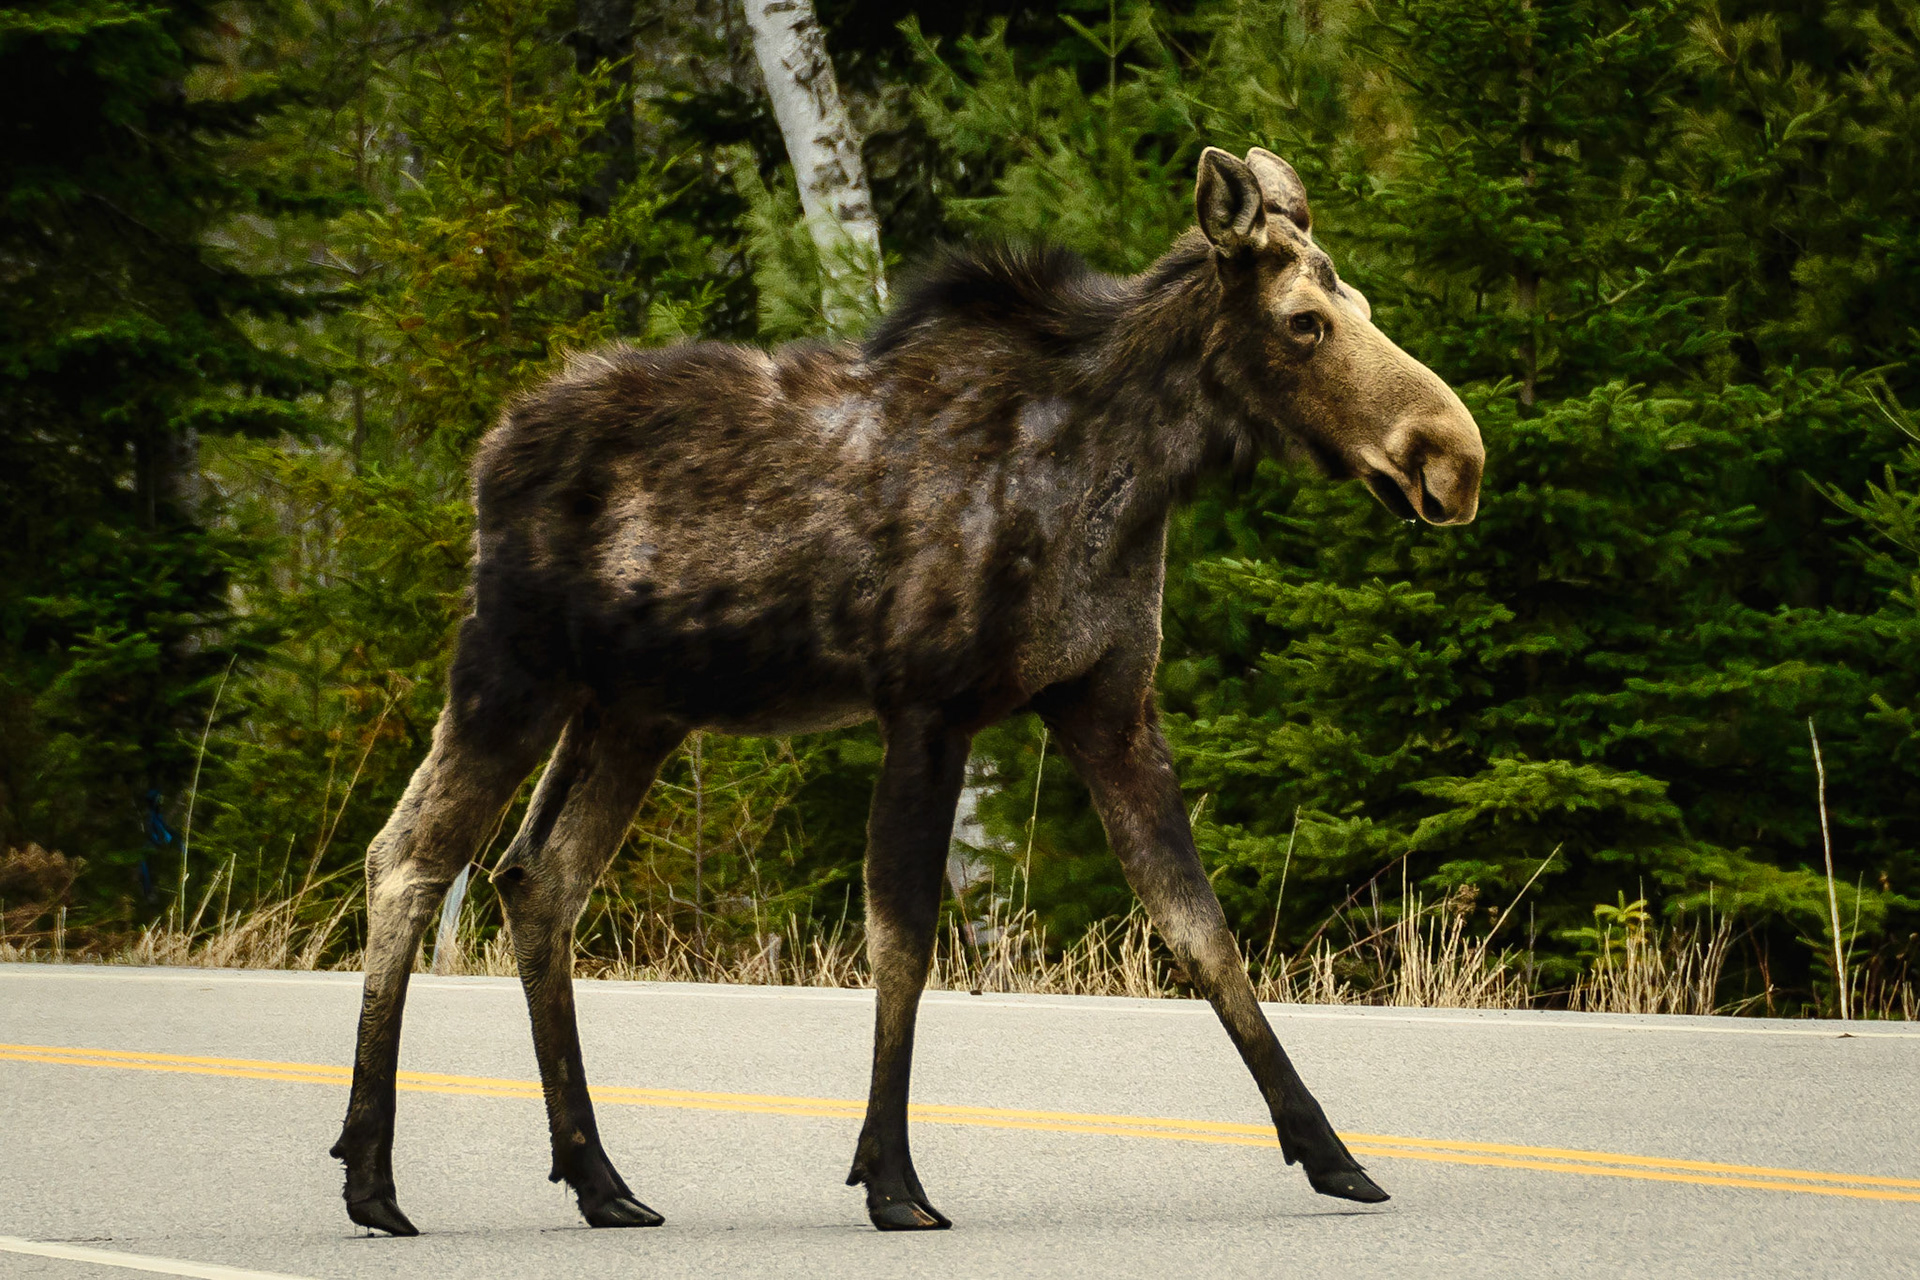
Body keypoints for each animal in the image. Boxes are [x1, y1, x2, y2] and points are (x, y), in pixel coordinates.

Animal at [329, 145, 1484, 1236]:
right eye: (1303, 323)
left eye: (1362, 307)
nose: (1454, 457)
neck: (1129, 483)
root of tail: (486, 450)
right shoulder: (927, 705)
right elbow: (905, 940)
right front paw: (891, 1176)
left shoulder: (1109, 707)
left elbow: (1201, 931)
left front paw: (1333, 1154)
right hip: (509, 669)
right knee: (409, 858)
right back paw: (373, 1176)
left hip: (631, 710)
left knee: (538, 878)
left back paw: (599, 1178)